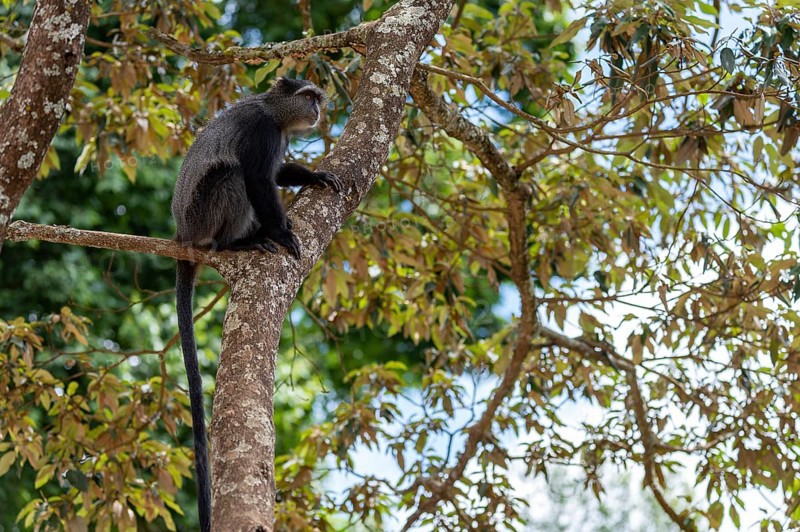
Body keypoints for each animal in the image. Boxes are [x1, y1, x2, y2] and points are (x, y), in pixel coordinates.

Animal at [171, 77, 341, 532]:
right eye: (309, 97)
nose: (318, 111)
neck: (273, 111)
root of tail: (181, 235)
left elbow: (278, 172)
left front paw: (313, 174)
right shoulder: (262, 133)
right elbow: (260, 180)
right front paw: (281, 232)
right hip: (205, 213)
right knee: (233, 176)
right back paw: (241, 242)